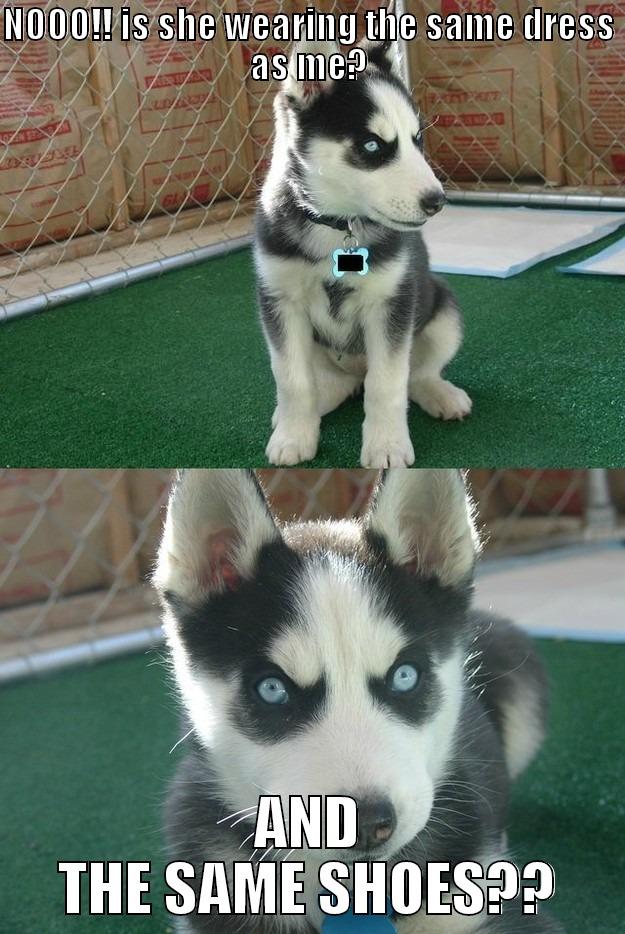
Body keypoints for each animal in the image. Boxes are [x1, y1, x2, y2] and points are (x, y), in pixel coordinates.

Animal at [256, 41, 470, 468]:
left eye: (417, 140)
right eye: (372, 146)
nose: (437, 201)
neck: (337, 225)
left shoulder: (391, 303)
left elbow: (386, 383)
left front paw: (386, 445)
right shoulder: (279, 301)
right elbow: (292, 379)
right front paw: (293, 435)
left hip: (443, 312)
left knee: (414, 375)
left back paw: (440, 394)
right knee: (333, 383)